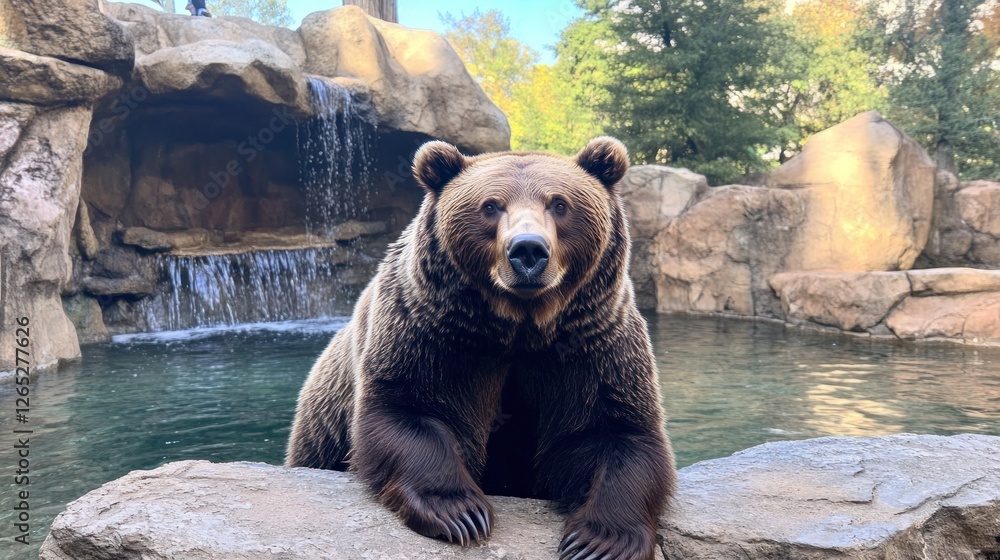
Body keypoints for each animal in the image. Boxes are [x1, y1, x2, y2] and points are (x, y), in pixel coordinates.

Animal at [286, 137, 675, 560]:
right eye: (490, 205)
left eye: (559, 204)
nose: (528, 251)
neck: (520, 326)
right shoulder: (431, 334)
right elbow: (405, 409)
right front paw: (461, 513)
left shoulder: (591, 343)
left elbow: (616, 431)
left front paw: (600, 541)